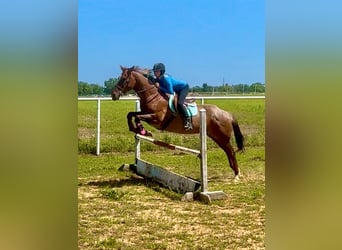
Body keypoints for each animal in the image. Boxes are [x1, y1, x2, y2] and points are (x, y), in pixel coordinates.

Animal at [111, 65, 244, 180]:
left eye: (124, 79)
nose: (113, 95)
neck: (153, 97)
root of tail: (227, 114)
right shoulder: (144, 113)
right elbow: (130, 114)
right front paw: (137, 130)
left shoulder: (157, 119)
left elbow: (137, 117)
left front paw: (143, 131)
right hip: (216, 136)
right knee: (228, 151)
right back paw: (235, 171)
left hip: (222, 137)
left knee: (231, 151)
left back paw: (237, 175)